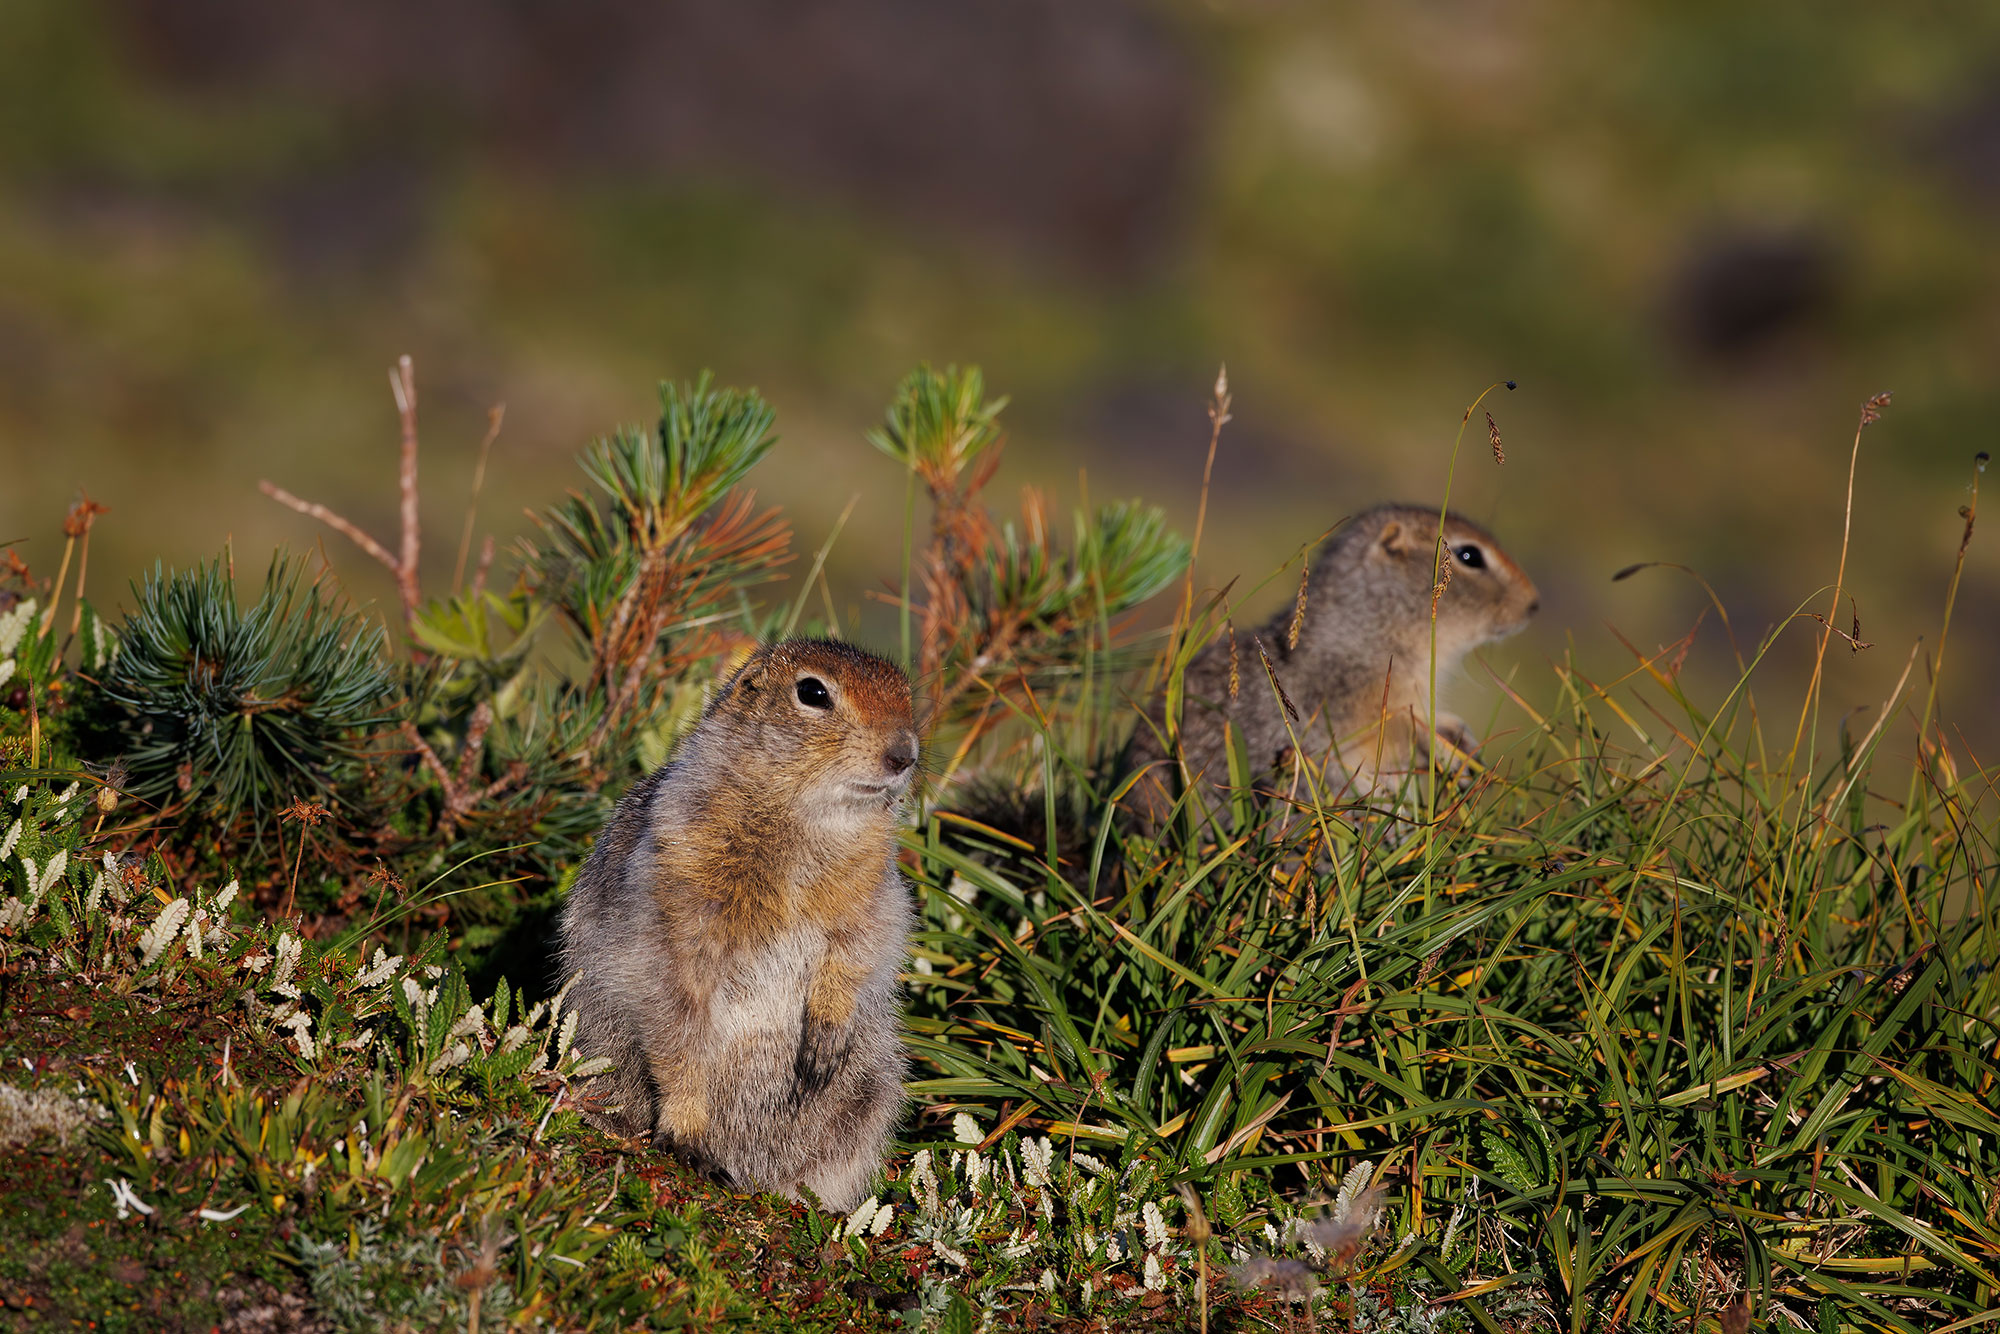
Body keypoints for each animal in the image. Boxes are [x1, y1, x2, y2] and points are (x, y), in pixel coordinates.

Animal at [560, 636, 924, 1208]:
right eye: (813, 692)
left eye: (905, 691)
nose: (904, 754)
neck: (808, 821)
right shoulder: (675, 902)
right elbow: (676, 1025)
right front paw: (687, 1135)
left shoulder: (874, 892)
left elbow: (862, 947)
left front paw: (825, 1039)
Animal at [1136, 506, 1536, 828]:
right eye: (1470, 555)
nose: (1535, 604)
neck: (1374, 625)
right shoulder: (1363, 691)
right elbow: (1402, 726)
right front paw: (1452, 756)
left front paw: (1461, 737)